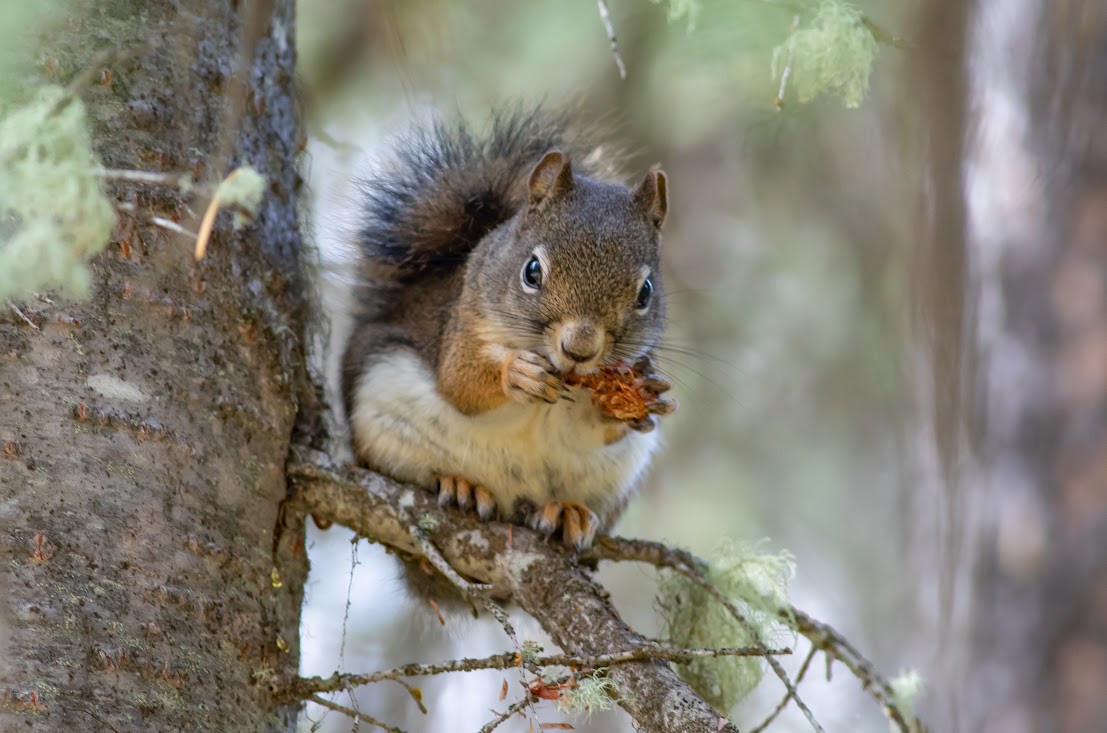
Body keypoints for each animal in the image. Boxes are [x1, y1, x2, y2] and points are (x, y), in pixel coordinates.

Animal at [340, 106, 673, 549]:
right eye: (532, 271)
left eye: (646, 292)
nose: (579, 349)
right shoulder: (462, 322)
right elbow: (459, 382)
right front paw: (515, 373)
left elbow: (596, 428)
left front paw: (634, 399)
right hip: (381, 410)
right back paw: (461, 485)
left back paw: (564, 512)